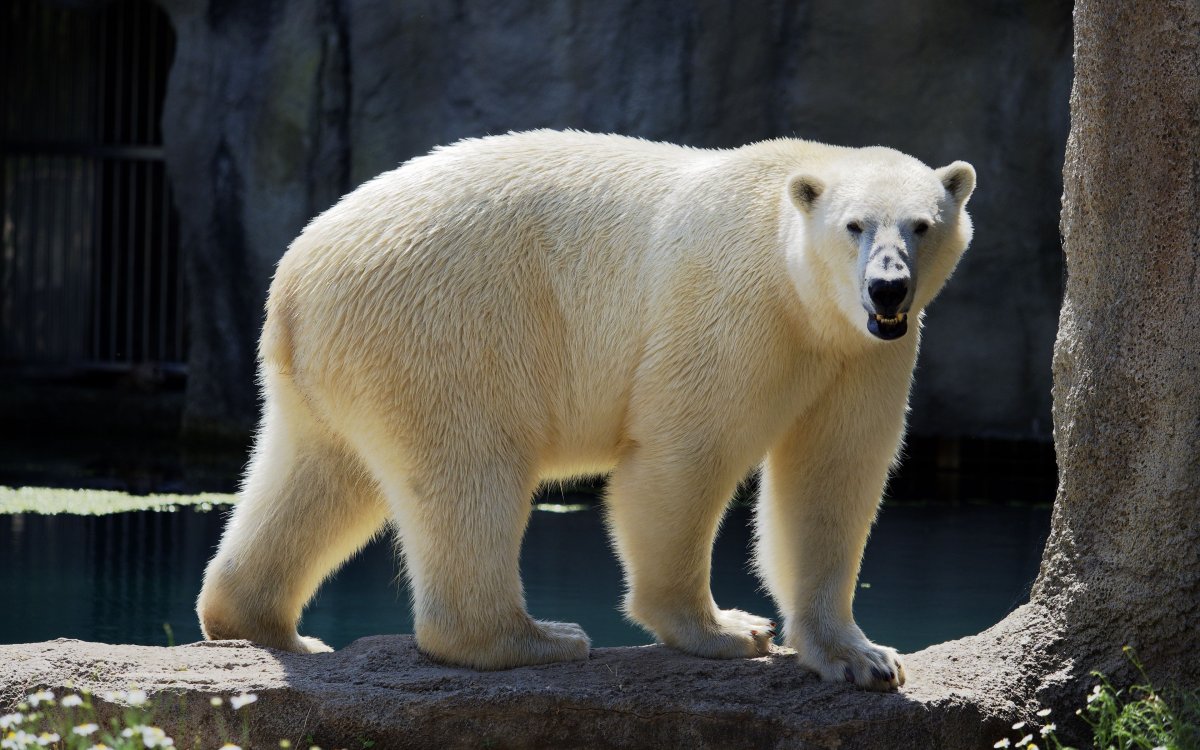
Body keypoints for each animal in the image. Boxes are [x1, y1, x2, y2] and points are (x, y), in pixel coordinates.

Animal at [197, 129, 975, 691]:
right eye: (854, 225)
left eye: (922, 225)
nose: (888, 288)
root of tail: (294, 283)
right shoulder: (736, 309)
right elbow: (683, 454)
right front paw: (728, 630)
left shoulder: (863, 353)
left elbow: (832, 477)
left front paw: (862, 657)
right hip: (444, 334)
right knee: (468, 477)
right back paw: (538, 638)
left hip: (332, 371)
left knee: (319, 478)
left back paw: (262, 622)